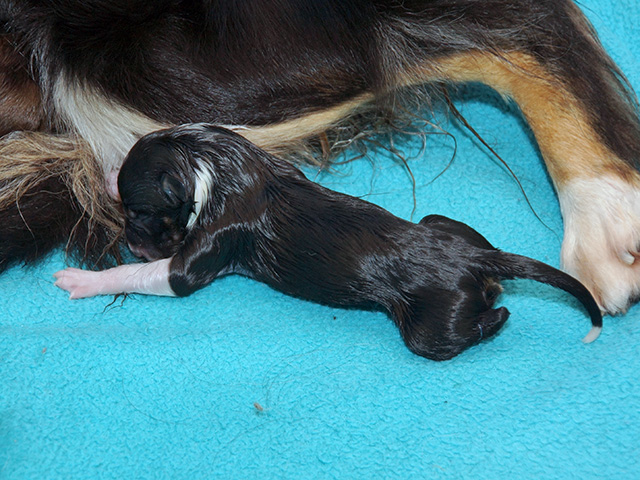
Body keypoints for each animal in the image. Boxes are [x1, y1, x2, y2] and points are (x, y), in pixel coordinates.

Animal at [54, 125, 602, 361]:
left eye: (138, 214)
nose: (130, 238)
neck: (209, 160)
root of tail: (475, 257)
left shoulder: (200, 256)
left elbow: (153, 275)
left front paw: (82, 280)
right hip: (446, 223)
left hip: (433, 328)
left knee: (482, 324)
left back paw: (497, 316)